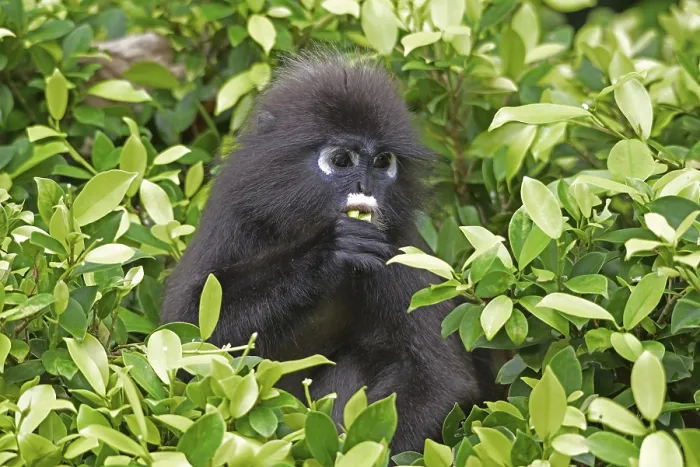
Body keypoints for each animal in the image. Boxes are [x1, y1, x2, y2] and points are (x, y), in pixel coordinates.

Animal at [161, 51, 493, 454]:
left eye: (383, 162)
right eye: (341, 160)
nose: (366, 185)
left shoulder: (396, 243)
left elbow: (441, 378)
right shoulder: (234, 210)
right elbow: (185, 331)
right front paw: (326, 254)